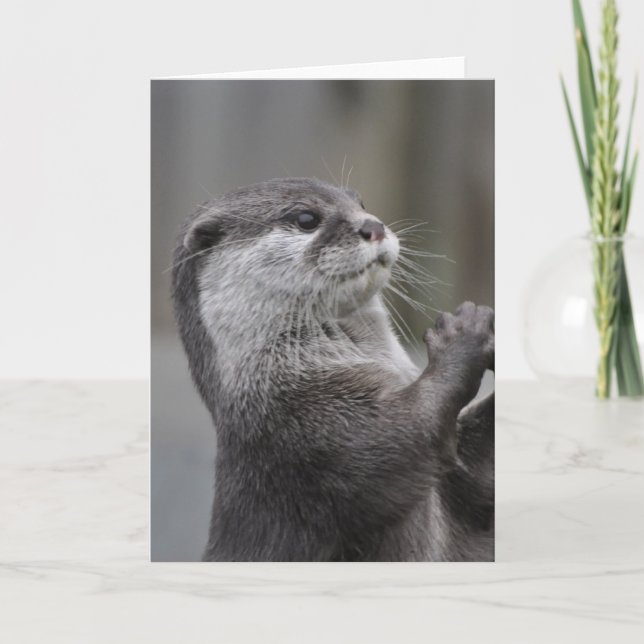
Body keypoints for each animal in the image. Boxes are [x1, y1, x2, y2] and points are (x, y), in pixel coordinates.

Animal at [171, 177, 494, 561]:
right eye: (306, 218)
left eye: (361, 204)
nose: (373, 226)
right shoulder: (310, 433)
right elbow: (406, 434)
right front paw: (463, 335)